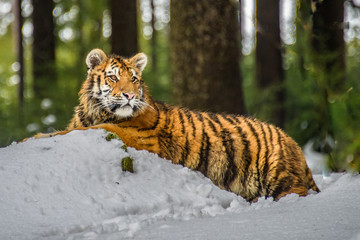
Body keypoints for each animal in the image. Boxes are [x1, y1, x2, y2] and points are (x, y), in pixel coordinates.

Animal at [29, 47, 320, 202]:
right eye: (113, 78)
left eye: (134, 79)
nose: (130, 95)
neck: (96, 112)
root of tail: (294, 143)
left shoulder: (138, 138)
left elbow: (84, 130)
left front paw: (33, 138)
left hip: (282, 179)